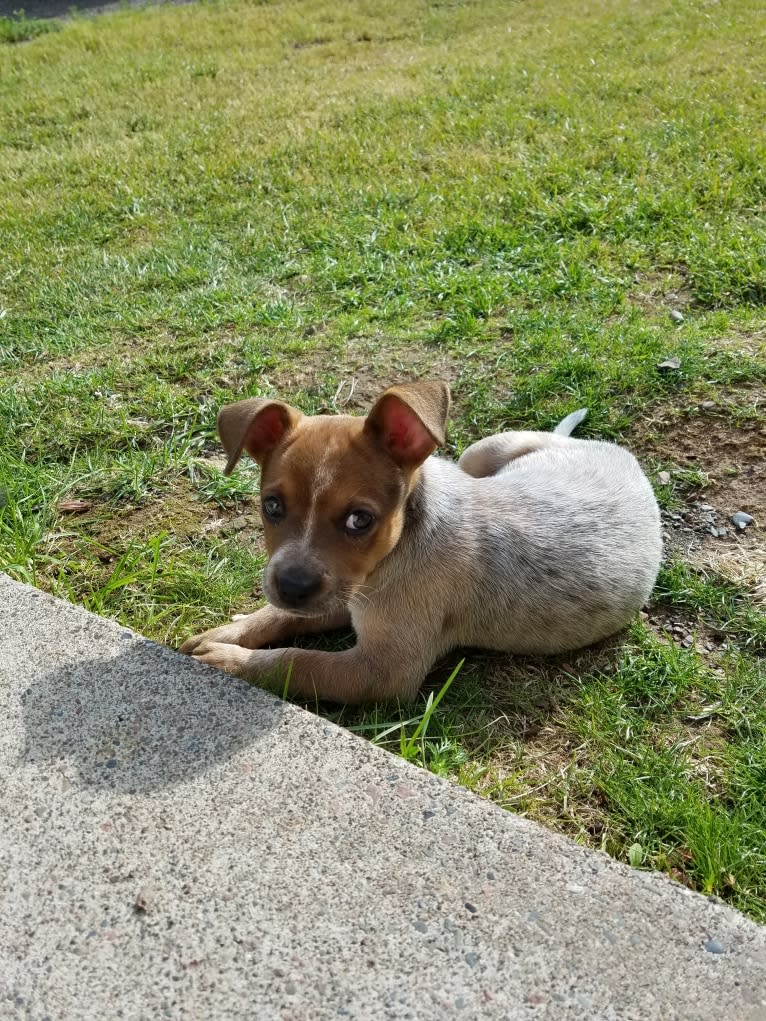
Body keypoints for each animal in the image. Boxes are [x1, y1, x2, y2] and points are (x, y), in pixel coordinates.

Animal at [181, 379, 665, 706]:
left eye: (360, 519)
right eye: (273, 506)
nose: (292, 586)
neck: (396, 551)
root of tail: (618, 454)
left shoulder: (382, 672)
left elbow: (297, 661)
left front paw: (226, 659)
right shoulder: (346, 591)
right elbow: (278, 617)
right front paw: (225, 633)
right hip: (481, 453)